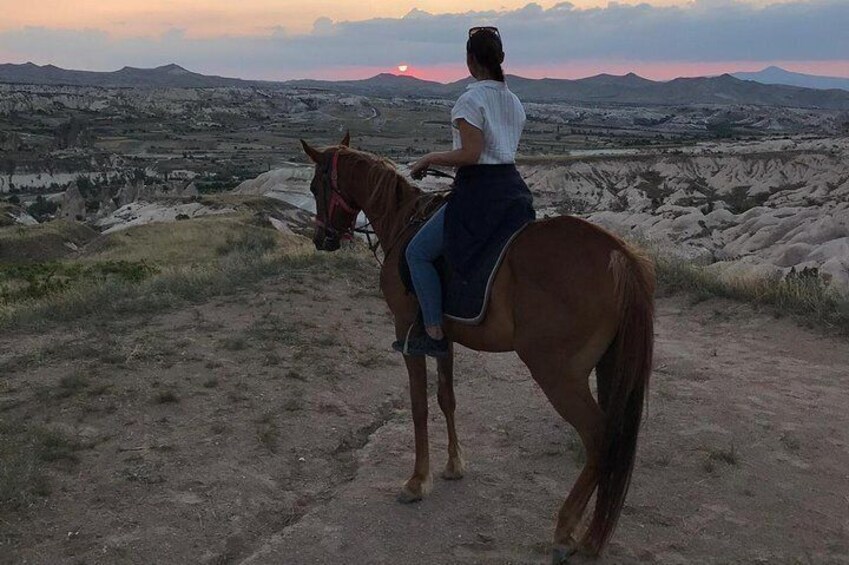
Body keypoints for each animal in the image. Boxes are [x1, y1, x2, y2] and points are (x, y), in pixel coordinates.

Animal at [300, 134, 656, 560]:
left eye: (315, 187)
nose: (322, 239)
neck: (401, 219)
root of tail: (620, 254)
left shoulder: (406, 332)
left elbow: (418, 406)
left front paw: (417, 481)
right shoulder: (442, 337)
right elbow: (446, 398)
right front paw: (454, 465)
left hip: (558, 374)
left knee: (599, 437)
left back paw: (566, 529)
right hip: (607, 365)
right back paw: (588, 535)